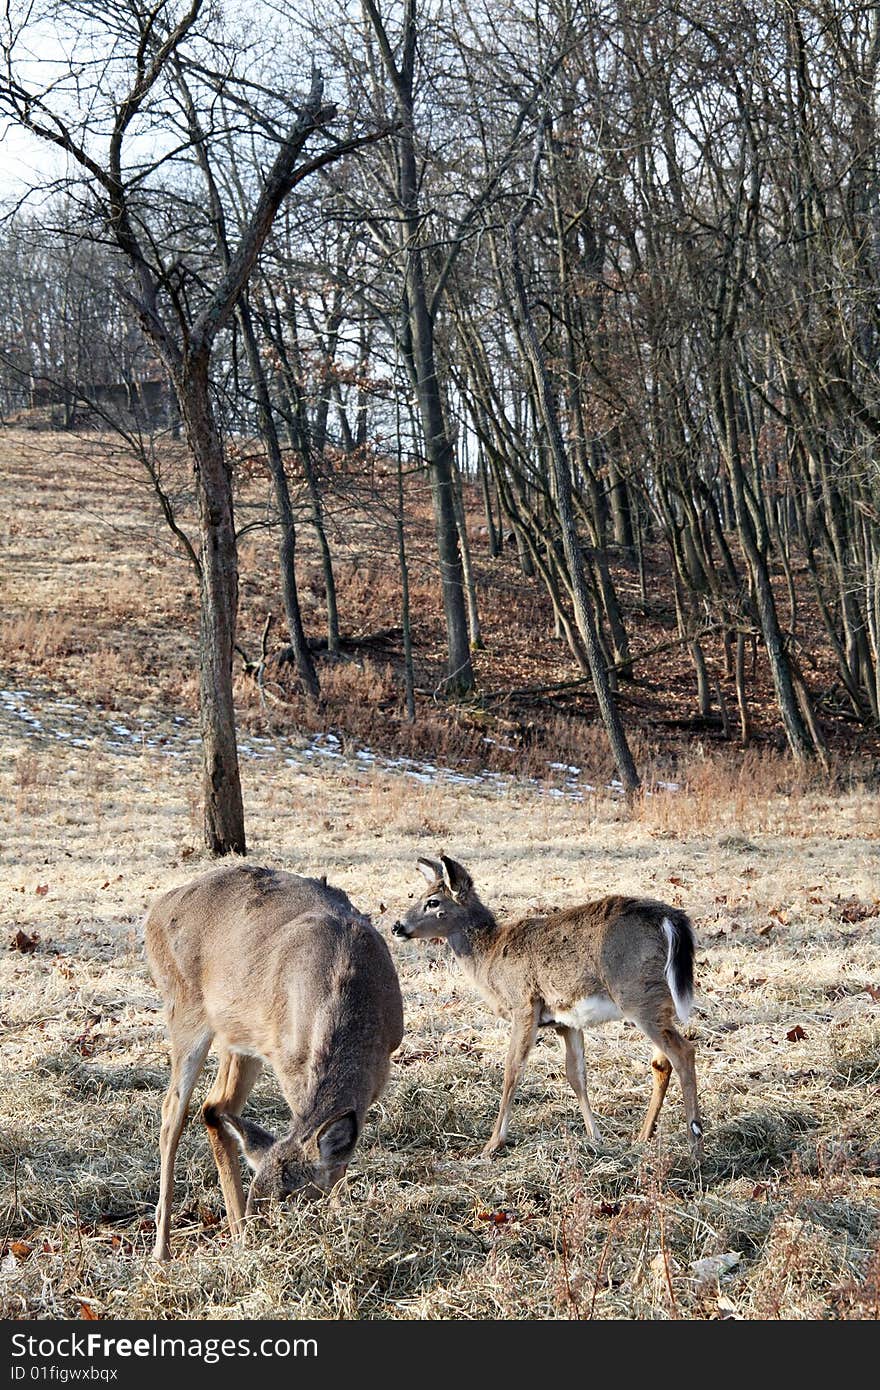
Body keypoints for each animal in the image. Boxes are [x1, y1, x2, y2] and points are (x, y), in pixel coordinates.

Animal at [145, 856, 405, 1262]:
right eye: (259, 1194)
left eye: (290, 1196)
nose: (267, 1235)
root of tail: (155, 912)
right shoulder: (290, 1065)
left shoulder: (380, 1071)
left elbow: (340, 1161)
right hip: (184, 1010)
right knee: (173, 1111)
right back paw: (162, 1247)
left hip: (239, 1036)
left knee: (214, 1107)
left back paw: (236, 1234)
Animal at [392, 856, 700, 1162]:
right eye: (419, 895)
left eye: (433, 902)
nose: (397, 926)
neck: (489, 957)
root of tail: (671, 920)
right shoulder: (566, 1022)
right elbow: (576, 1076)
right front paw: (595, 1137)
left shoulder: (524, 1005)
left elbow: (512, 1069)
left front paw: (493, 1143)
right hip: (656, 1000)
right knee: (661, 1062)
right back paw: (643, 1137)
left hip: (637, 995)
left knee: (683, 1052)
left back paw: (695, 1144)